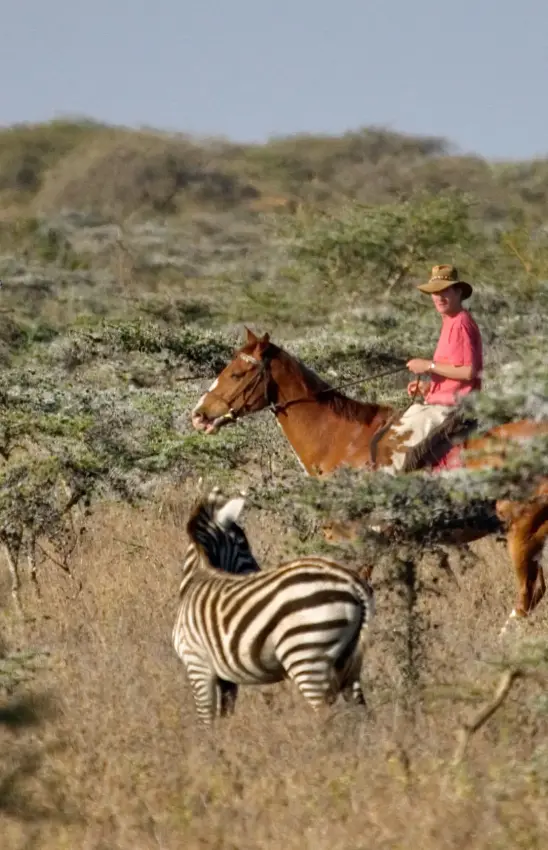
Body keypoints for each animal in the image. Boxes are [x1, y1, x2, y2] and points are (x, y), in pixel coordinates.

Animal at [172, 488, 375, 726]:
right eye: (243, 544)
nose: (257, 571)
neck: (196, 578)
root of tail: (353, 581)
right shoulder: (225, 677)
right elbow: (224, 716)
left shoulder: (197, 665)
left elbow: (206, 721)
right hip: (348, 660)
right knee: (361, 711)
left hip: (306, 655)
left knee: (324, 713)